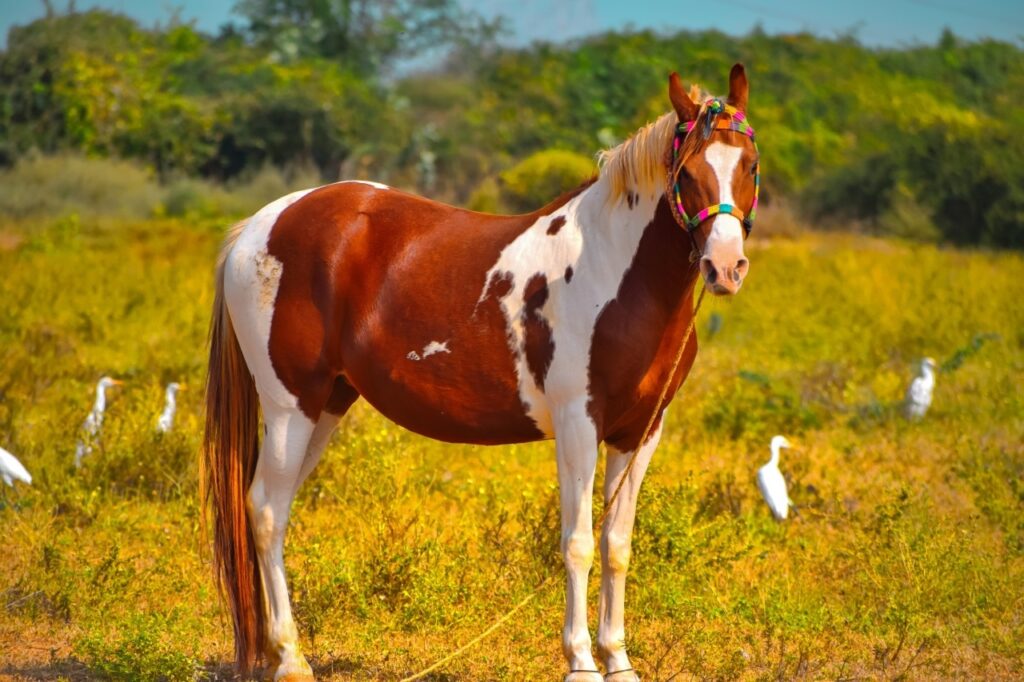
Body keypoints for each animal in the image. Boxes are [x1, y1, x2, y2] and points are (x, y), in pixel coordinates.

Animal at [203, 63, 760, 682]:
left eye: (750, 164)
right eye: (687, 172)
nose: (726, 268)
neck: (615, 271)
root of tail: (259, 226)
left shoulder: (639, 431)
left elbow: (616, 543)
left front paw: (618, 661)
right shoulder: (577, 422)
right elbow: (577, 542)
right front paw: (580, 662)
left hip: (326, 404)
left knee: (273, 507)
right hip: (288, 404)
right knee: (266, 512)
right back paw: (292, 658)